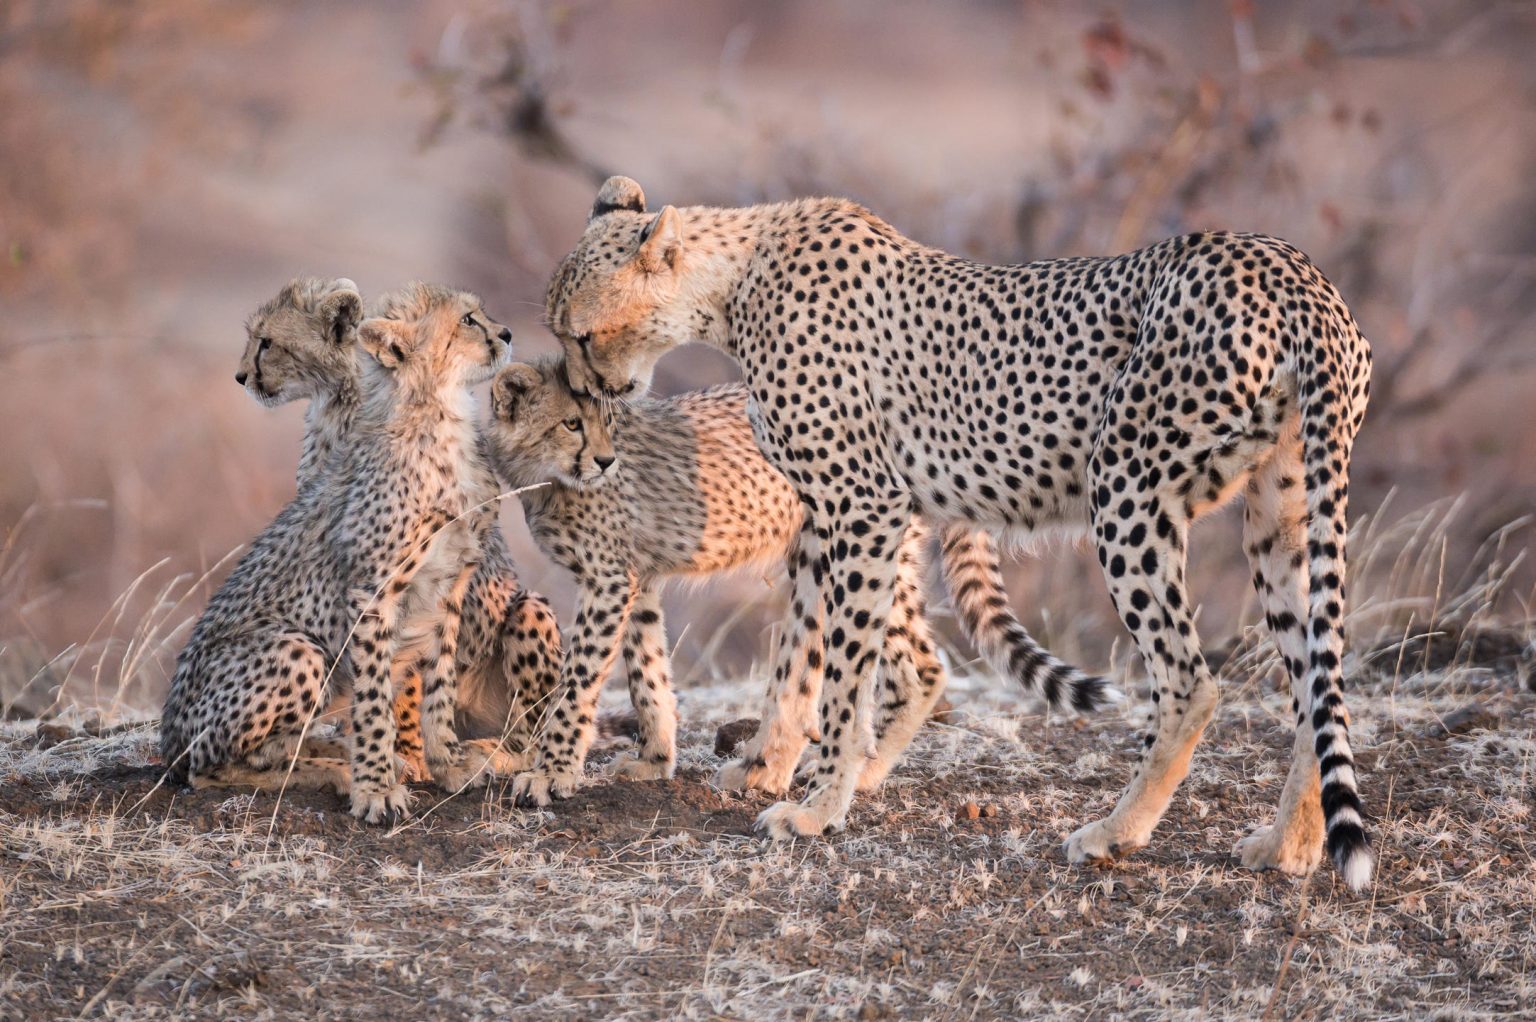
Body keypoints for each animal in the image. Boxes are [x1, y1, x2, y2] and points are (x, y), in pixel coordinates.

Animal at [488, 355, 1114, 806]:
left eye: (606, 424)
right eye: (572, 423)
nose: (605, 460)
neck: (546, 480)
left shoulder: (609, 581)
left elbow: (579, 681)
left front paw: (552, 773)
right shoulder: (637, 580)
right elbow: (647, 669)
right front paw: (654, 758)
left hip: (848, 545)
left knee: (918, 666)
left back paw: (849, 771)